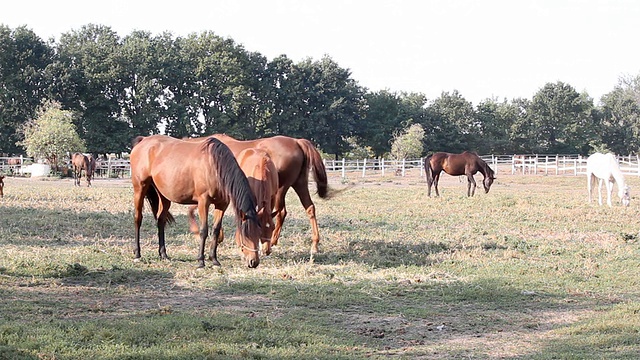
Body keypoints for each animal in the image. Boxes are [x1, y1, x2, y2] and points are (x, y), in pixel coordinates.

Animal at [130, 134, 262, 268]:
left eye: (259, 233)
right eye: (246, 234)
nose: (254, 262)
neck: (214, 166)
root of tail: (143, 140)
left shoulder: (222, 204)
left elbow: (216, 230)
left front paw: (214, 260)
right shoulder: (203, 202)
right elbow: (204, 230)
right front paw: (200, 261)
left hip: (164, 196)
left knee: (161, 221)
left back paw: (163, 254)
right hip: (140, 189)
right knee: (138, 219)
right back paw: (137, 254)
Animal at [188, 134, 330, 255]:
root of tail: (297, 142)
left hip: (282, 188)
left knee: (282, 212)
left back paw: (273, 242)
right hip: (300, 184)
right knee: (310, 208)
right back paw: (314, 244)